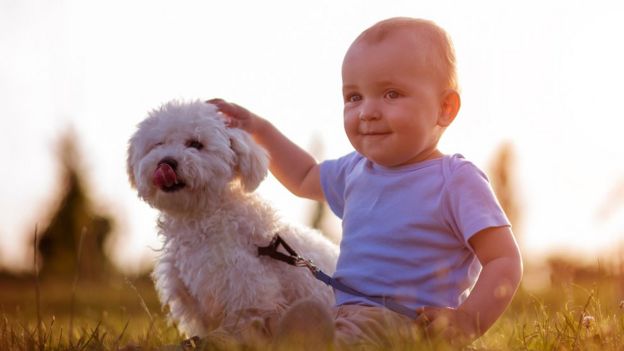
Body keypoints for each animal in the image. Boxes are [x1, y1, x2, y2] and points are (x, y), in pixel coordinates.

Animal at [127, 100, 338, 340]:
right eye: (158, 144)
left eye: (196, 144)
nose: (166, 163)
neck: (201, 218)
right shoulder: (193, 304)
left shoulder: (247, 298)